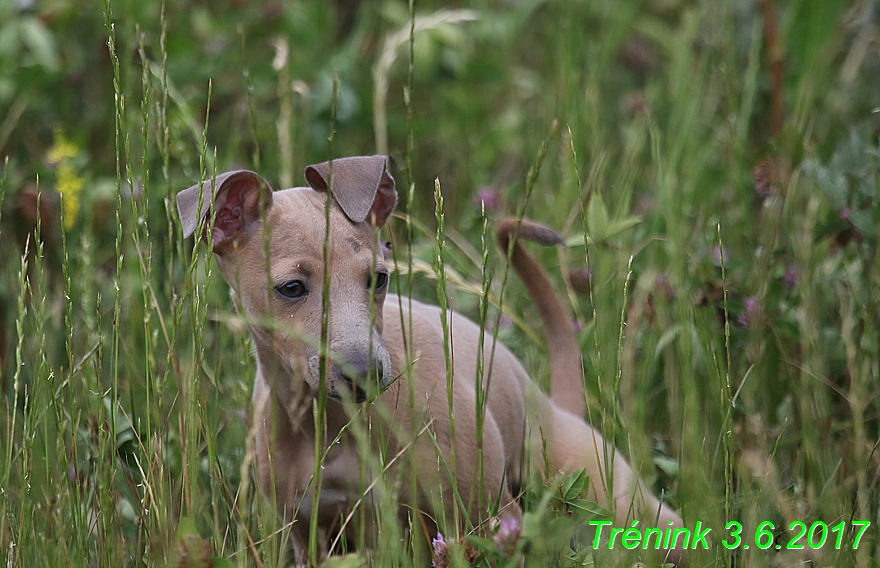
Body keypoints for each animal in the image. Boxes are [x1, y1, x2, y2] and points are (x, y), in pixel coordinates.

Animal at [179, 154, 684, 564]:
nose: (366, 375)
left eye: (379, 279)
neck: (337, 426)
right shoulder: (311, 536)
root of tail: (548, 404)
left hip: (624, 505)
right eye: (291, 288)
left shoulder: (489, 519)